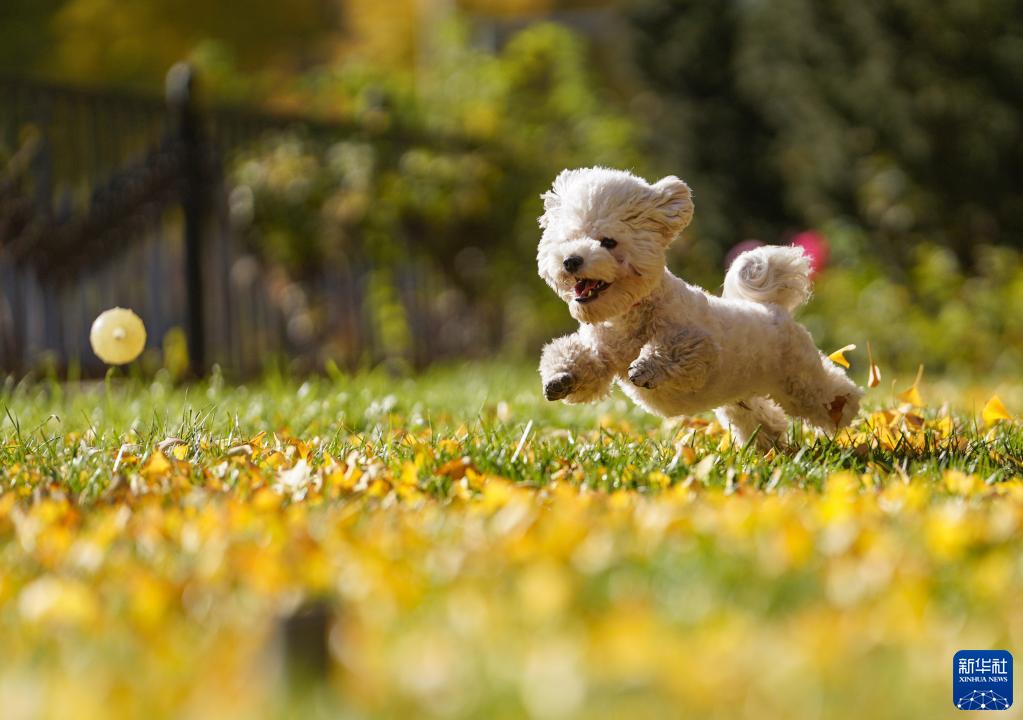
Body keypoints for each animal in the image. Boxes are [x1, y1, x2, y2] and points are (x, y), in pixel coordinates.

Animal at [540, 169, 859, 450]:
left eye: (608, 242)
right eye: (568, 239)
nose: (571, 260)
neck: (629, 316)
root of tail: (772, 308)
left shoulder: (700, 351)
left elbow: (675, 349)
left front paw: (645, 366)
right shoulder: (603, 355)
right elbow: (584, 365)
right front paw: (560, 378)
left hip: (797, 377)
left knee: (829, 390)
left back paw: (842, 409)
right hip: (741, 397)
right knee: (760, 418)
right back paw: (769, 446)